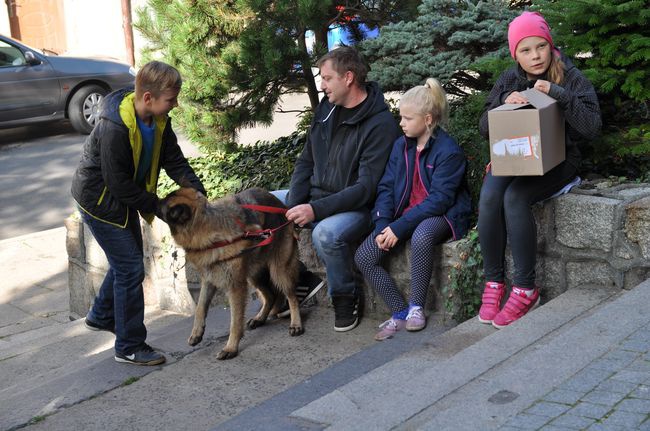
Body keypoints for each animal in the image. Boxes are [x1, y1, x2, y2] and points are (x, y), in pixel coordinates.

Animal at [157, 187, 302, 360]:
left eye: (164, 203)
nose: (153, 200)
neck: (205, 227)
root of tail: (283, 206)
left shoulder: (235, 287)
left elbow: (235, 321)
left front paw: (231, 347)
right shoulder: (209, 280)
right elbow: (200, 308)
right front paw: (197, 332)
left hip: (279, 270)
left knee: (291, 296)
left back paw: (296, 323)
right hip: (254, 275)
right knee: (270, 296)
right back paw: (260, 318)